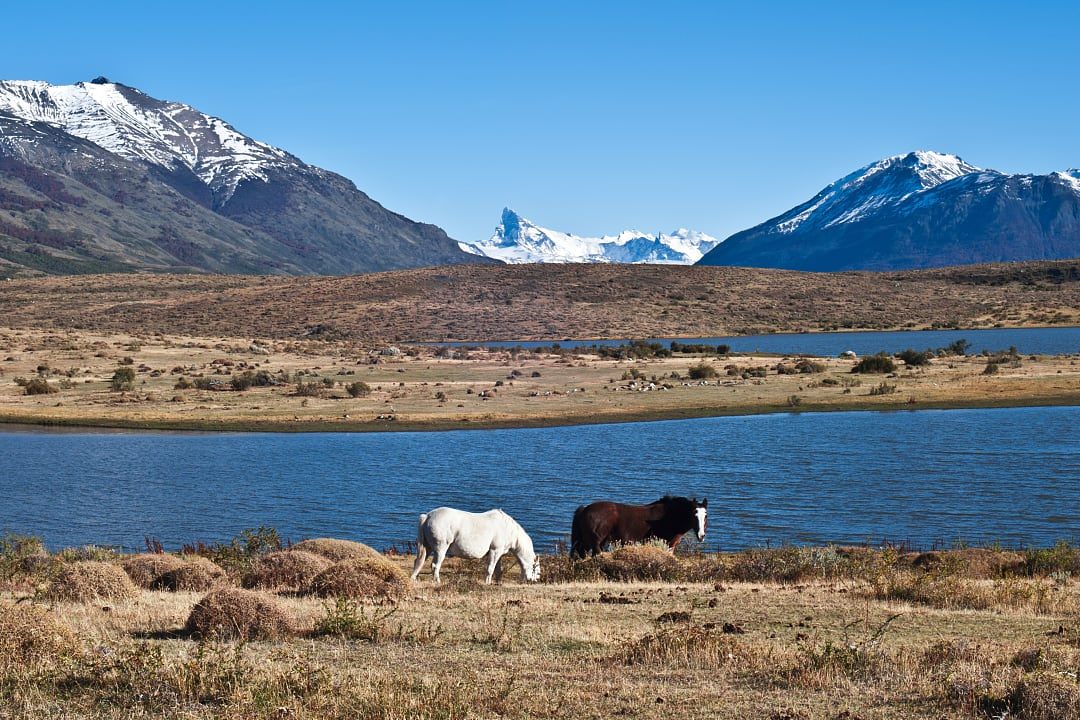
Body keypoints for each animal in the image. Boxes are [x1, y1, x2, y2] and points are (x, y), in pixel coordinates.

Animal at [410, 507, 541, 584]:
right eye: (536, 569)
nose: (535, 581)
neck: (508, 529)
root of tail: (427, 516)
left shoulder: (498, 554)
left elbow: (498, 569)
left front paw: (498, 583)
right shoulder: (494, 551)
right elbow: (490, 568)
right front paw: (487, 583)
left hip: (427, 548)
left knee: (418, 562)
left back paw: (414, 578)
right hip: (440, 549)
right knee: (435, 566)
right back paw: (437, 581)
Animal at [570, 495, 707, 558]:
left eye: (705, 516)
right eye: (694, 515)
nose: (701, 536)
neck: (669, 516)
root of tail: (585, 509)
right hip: (594, 542)